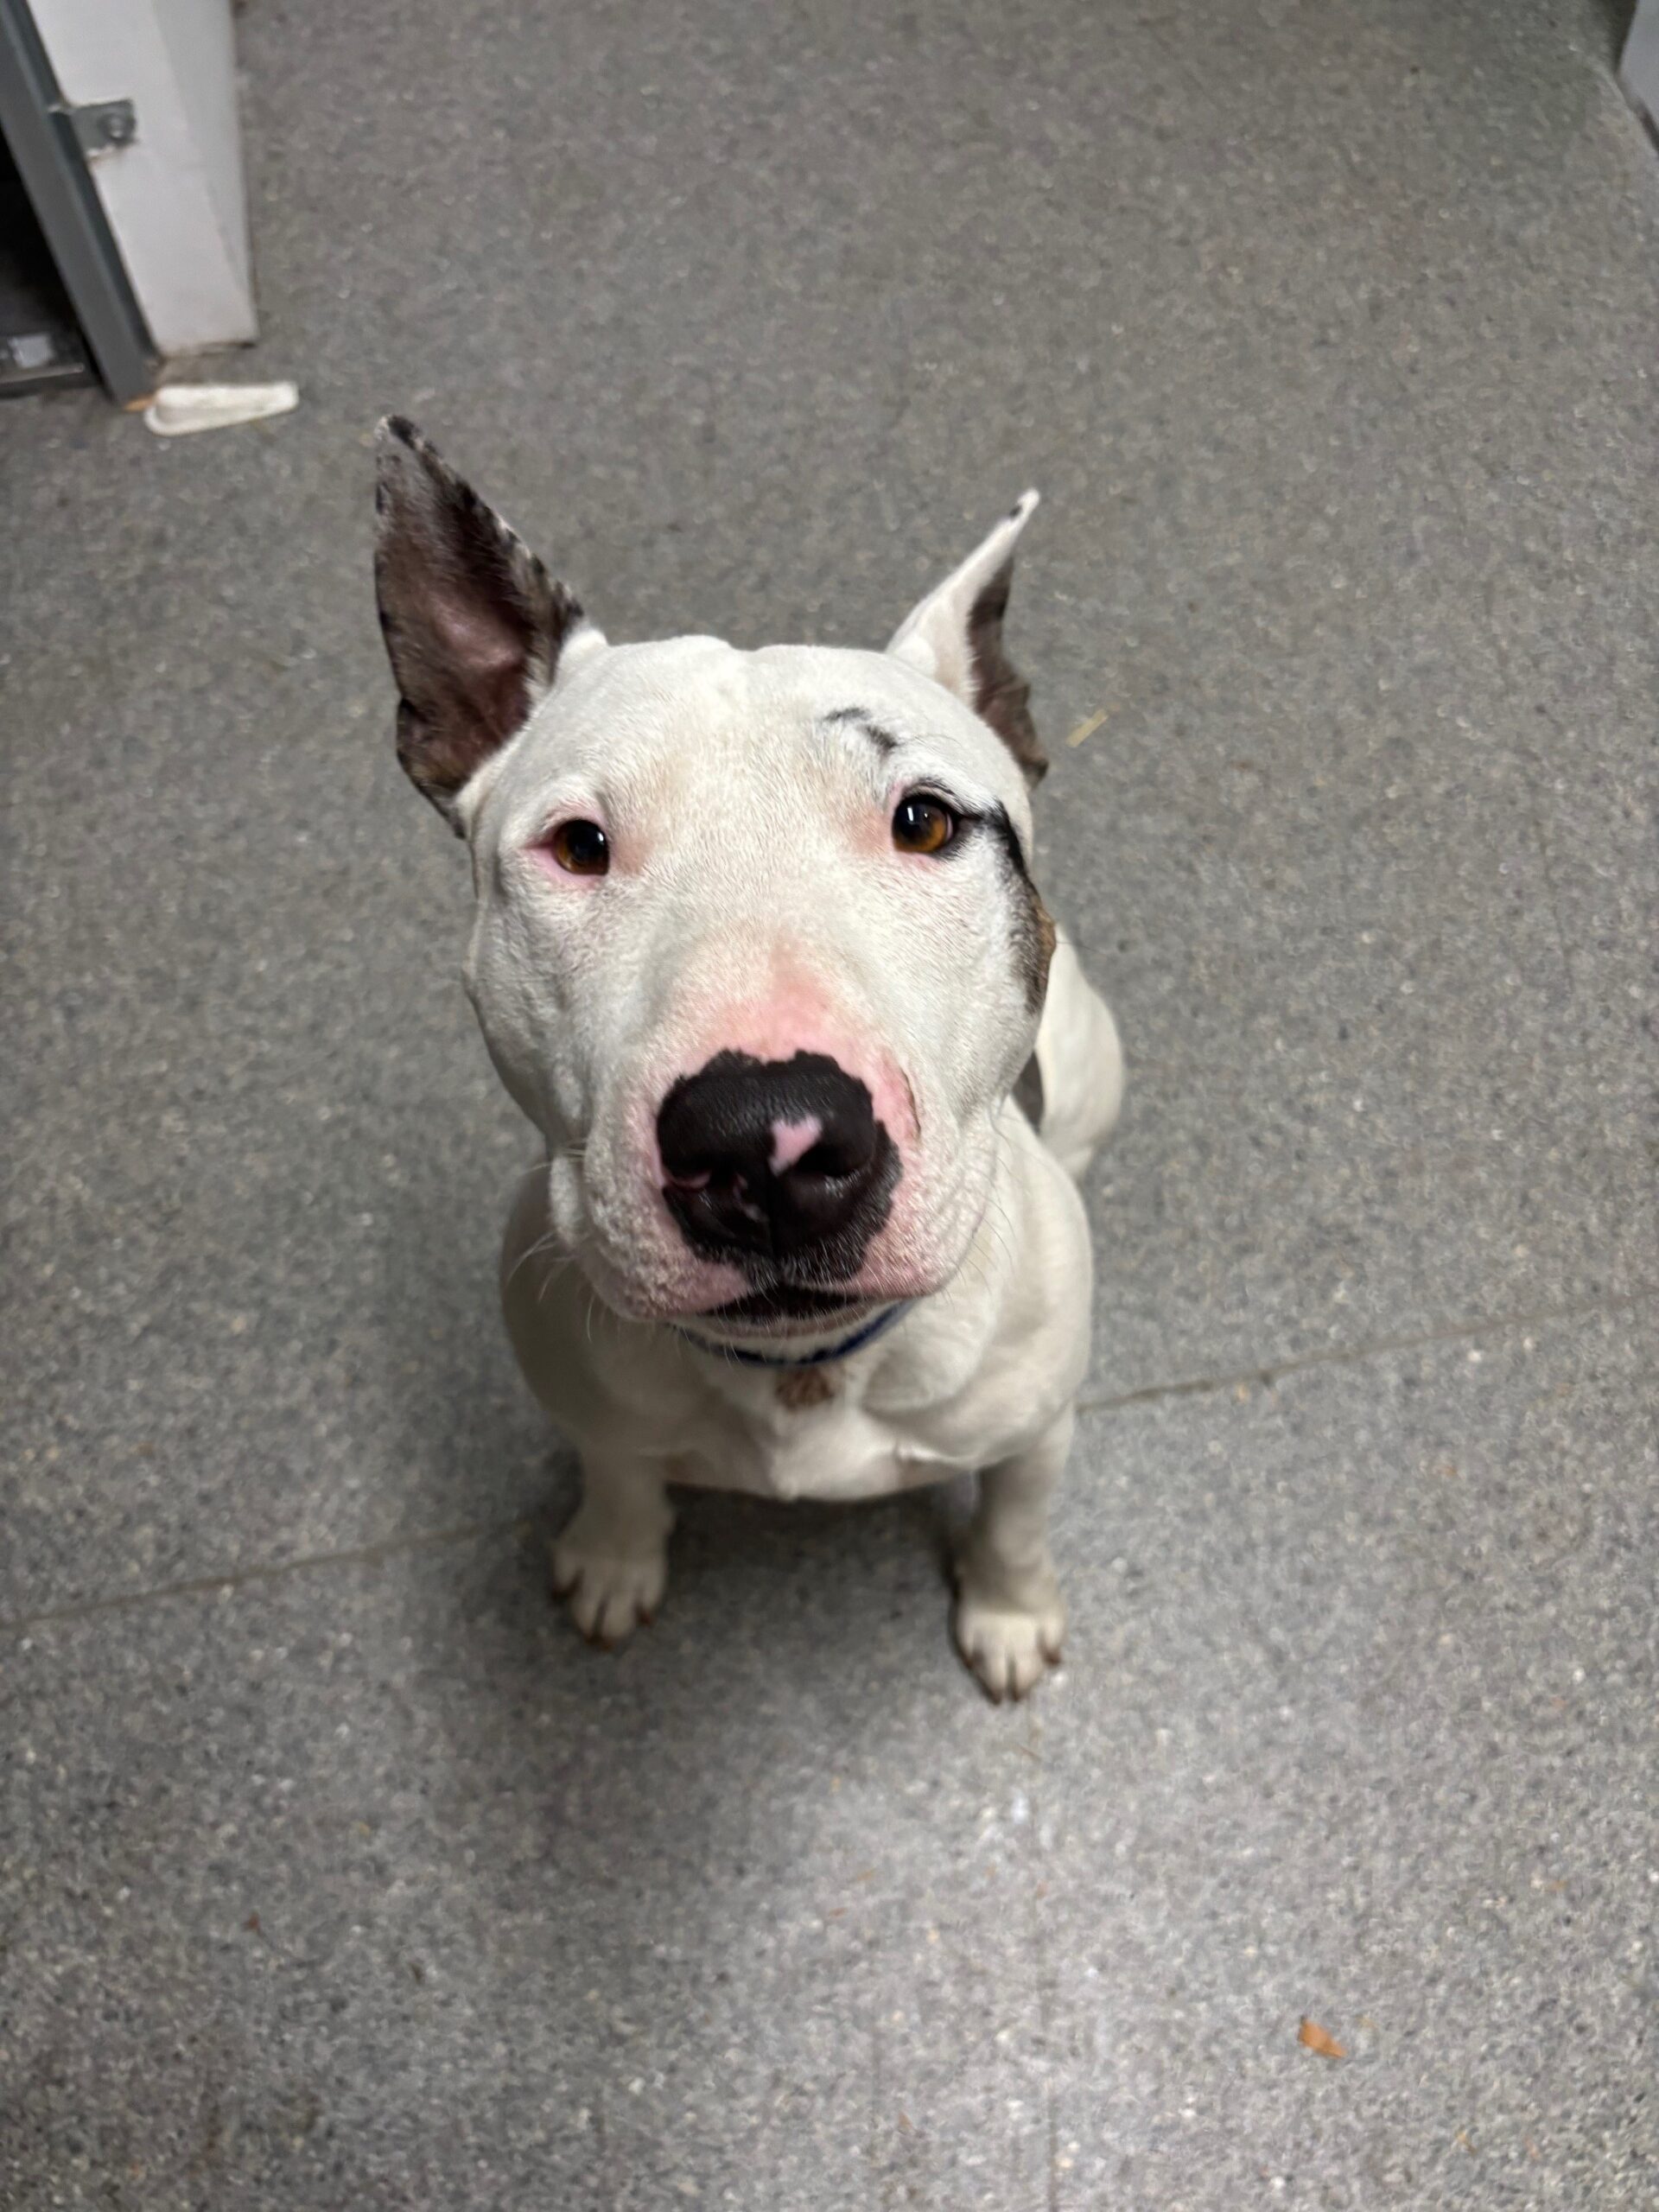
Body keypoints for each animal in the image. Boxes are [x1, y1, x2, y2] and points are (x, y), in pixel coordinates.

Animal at [373, 419, 1123, 1700]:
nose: (769, 1140)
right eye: (579, 845)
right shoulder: (590, 1406)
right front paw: (615, 1556)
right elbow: (618, 1473)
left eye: (925, 821)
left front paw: (1010, 1609)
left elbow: (1016, 1519)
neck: (801, 1367)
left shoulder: (1038, 1428)